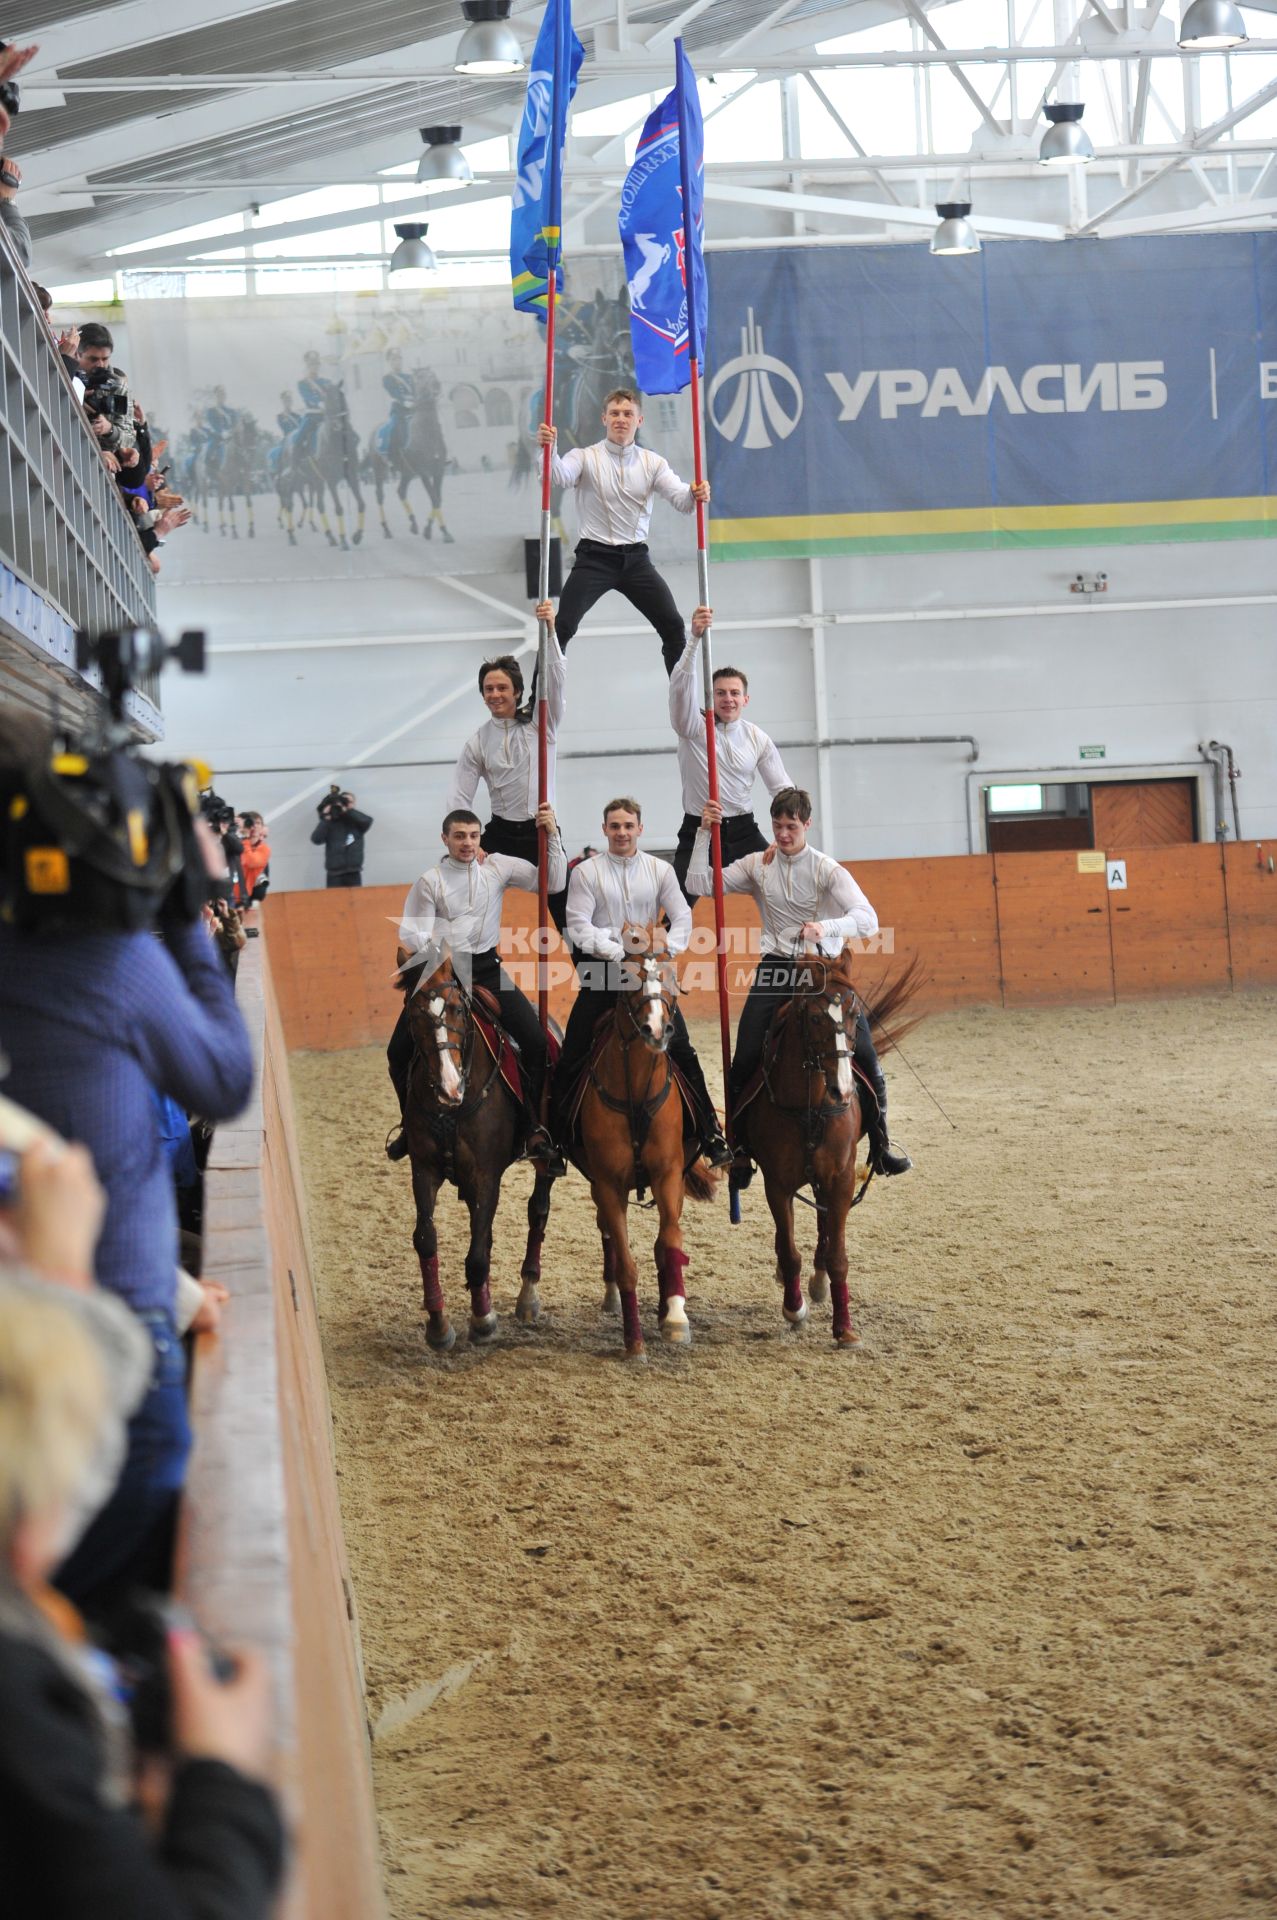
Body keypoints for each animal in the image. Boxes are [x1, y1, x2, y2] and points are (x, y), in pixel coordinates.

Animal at [399, 948, 553, 1351]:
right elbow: (426, 1240)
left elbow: (478, 1256)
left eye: (457, 1009)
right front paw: (438, 1326)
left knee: (537, 1210)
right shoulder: (424, 1169)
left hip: (544, 1161)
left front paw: (483, 1321)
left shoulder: (486, 1177)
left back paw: (527, 1296)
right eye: (414, 1014)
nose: (449, 1086)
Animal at [568, 925, 718, 1351]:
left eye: (669, 975)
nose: (656, 1030)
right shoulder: (608, 1183)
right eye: (627, 978)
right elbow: (626, 1261)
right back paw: (614, 1299)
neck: (635, 1090)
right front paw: (633, 1340)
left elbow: (669, 1242)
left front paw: (676, 1317)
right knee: (606, 1232)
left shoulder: (668, 1175)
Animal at [733, 960, 921, 1351]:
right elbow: (790, 1251)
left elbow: (838, 1256)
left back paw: (819, 1282)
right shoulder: (777, 1183)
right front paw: (794, 1309)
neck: (810, 1105)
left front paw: (844, 1328)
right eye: (816, 1017)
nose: (843, 1088)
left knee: (823, 1227)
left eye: (854, 1015)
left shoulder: (842, 1178)